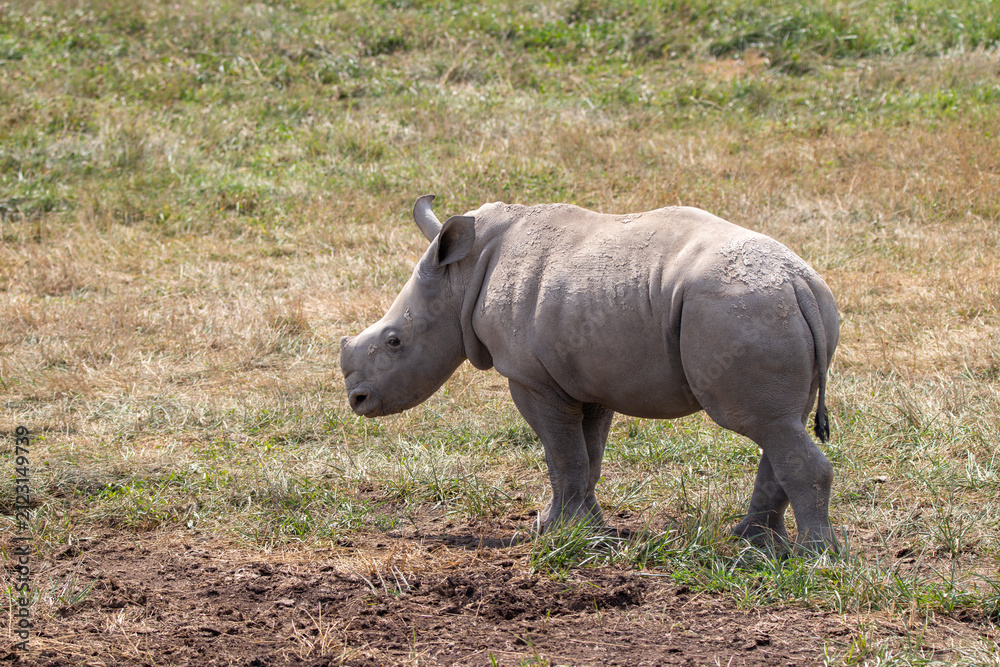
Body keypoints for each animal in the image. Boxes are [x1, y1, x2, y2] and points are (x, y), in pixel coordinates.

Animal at [340, 195, 840, 551]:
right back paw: (750, 544)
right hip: (776, 309)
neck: (460, 278)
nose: (356, 400)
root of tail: (800, 283)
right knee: (778, 422)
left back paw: (814, 558)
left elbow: (562, 454)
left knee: (762, 423)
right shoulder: (589, 377)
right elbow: (587, 454)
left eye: (394, 342)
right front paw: (578, 528)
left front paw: (564, 533)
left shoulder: (532, 378)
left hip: (741, 310)